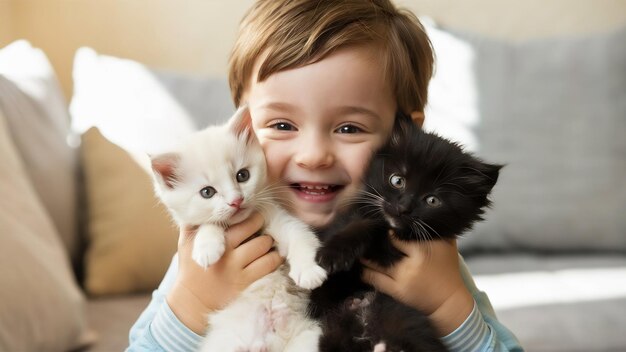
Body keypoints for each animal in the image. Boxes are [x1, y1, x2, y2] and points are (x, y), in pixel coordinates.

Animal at [151, 106, 324, 352]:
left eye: (242, 175)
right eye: (207, 192)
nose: (236, 201)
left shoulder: (280, 220)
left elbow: (301, 239)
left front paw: (309, 272)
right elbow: (207, 224)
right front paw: (207, 248)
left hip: (307, 338)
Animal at [310, 112, 500, 352]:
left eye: (432, 200)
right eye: (397, 180)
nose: (403, 208)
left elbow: (373, 225)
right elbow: (360, 223)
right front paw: (334, 253)